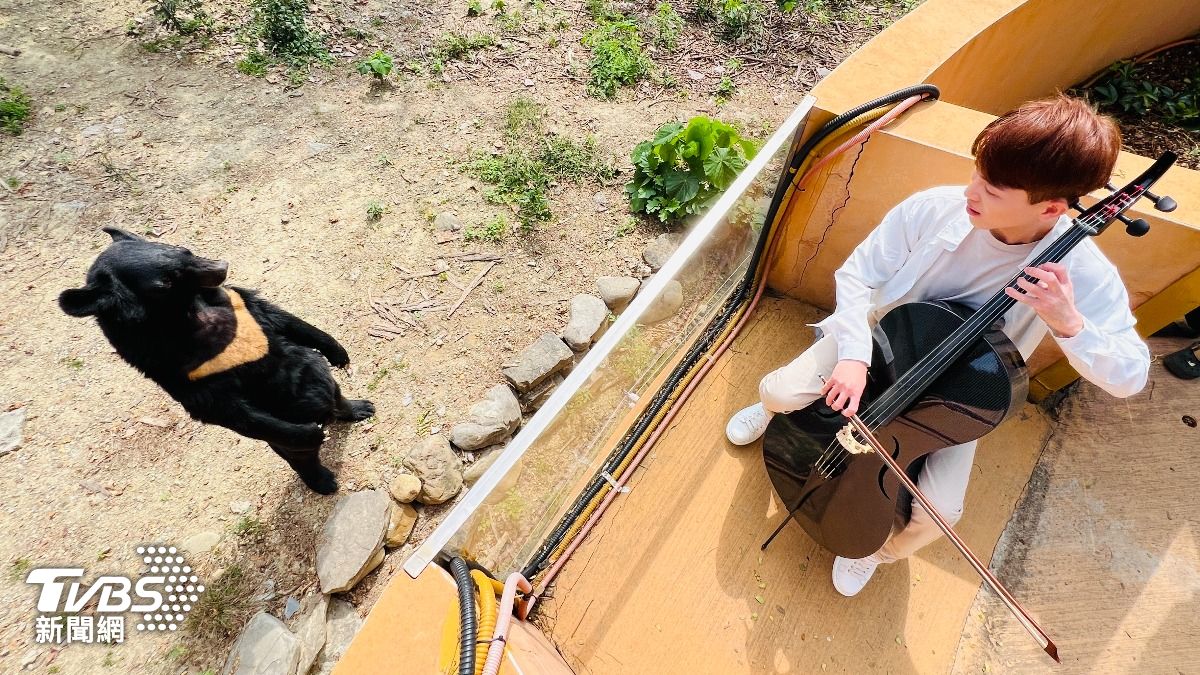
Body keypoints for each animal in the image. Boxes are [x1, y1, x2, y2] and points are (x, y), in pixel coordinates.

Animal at [58, 227, 374, 495]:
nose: (221, 267)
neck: (187, 314)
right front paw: (311, 435)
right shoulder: (179, 371)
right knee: (299, 456)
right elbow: (223, 408)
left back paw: (360, 408)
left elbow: (279, 316)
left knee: (334, 393)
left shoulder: (240, 304)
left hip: (321, 381)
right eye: (164, 284)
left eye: (182, 249)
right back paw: (323, 479)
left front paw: (338, 353)